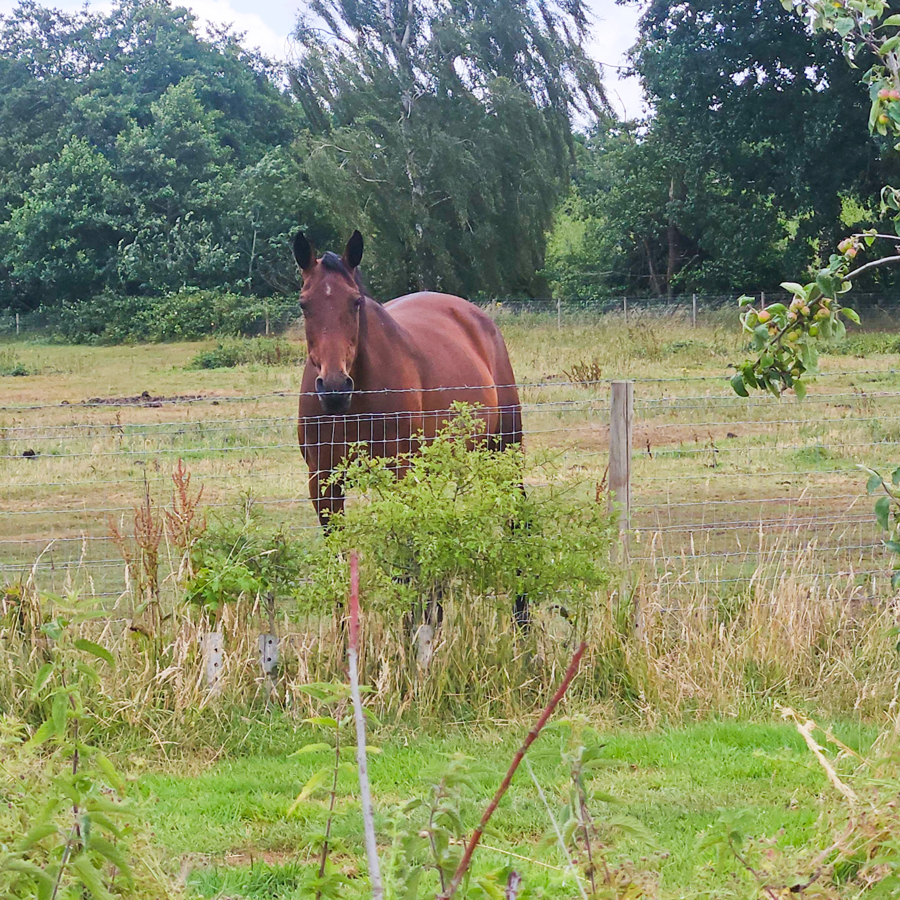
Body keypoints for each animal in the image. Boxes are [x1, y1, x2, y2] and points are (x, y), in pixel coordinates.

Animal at [292, 229, 527, 650]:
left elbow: (405, 557)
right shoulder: (323, 483)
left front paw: (409, 637)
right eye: (305, 304)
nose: (334, 388)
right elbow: (339, 561)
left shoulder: (400, 476)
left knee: (515, 523)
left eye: (355, 302)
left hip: (505, 451)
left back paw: (520, 622)